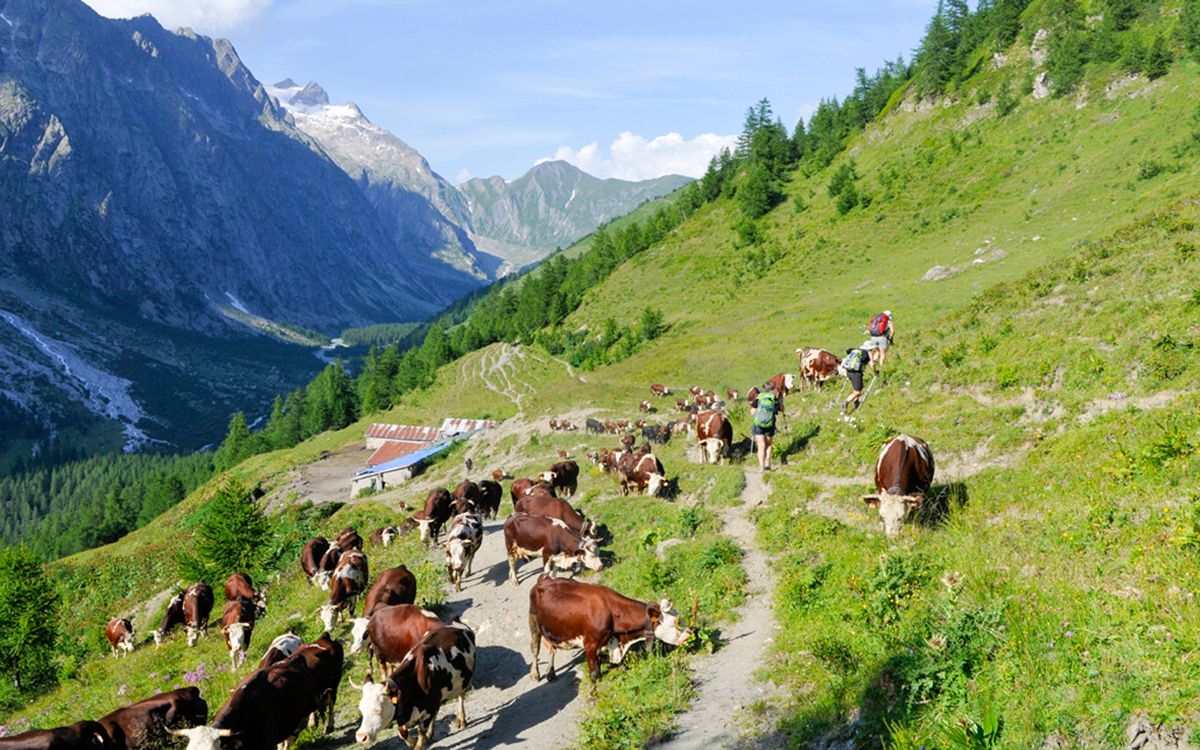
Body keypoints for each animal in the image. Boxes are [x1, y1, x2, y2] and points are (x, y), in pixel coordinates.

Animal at [350, 619, 472, 748]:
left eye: (378, 710)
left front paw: (418, 744)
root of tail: (454, 621)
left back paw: (461, 719)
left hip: (464, 682)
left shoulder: (430, 706)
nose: (361, 737)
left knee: (461, 697)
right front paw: (413, 741)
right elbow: (401, 732)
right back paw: (431, 734)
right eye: (361, 710)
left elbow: (421, 729)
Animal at [528, 573, 691, 686]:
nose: (690, 634)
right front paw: (594, 695)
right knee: (535, 649)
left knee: (551, 648)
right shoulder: (590, 644)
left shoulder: (607, 641)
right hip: (534, 623)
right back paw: (535, 674)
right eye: (674, 622)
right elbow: (593, 673)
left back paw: (551, 673)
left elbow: (601, 665)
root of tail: (544, 578)